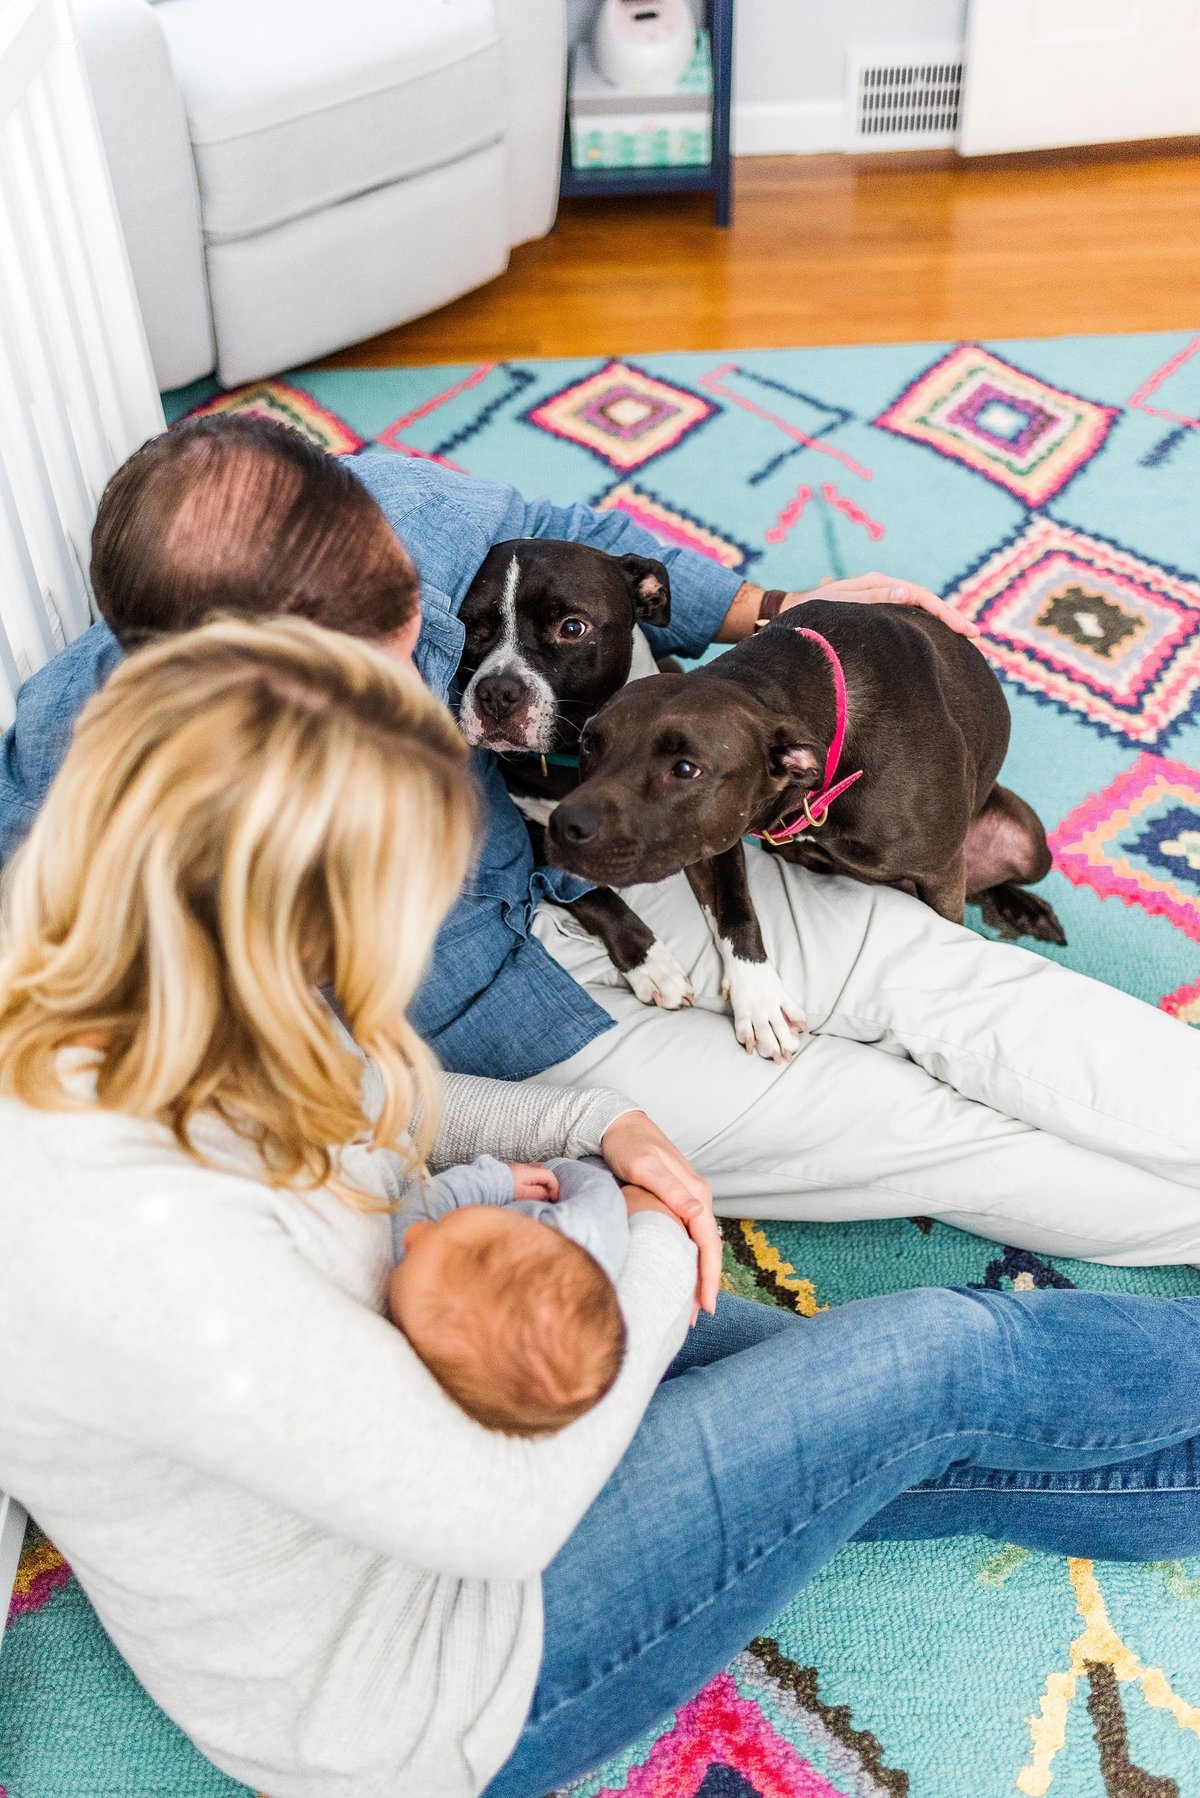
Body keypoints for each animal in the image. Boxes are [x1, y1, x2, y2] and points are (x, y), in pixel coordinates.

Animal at [453, 532, 694, 1014]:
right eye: (470, 627)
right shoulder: (535, 835)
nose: (497, 692)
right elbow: (597, 896)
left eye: (571, 628)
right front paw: (651, 962)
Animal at [550, 596, 1065, 1057]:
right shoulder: (712, 838)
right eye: (588, 743)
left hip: (1030, 848)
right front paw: (759, 1001)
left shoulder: (940, 873)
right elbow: (735, 910)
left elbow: (945, 930)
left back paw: (1023, 908)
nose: (562, 825)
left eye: (685, 769)